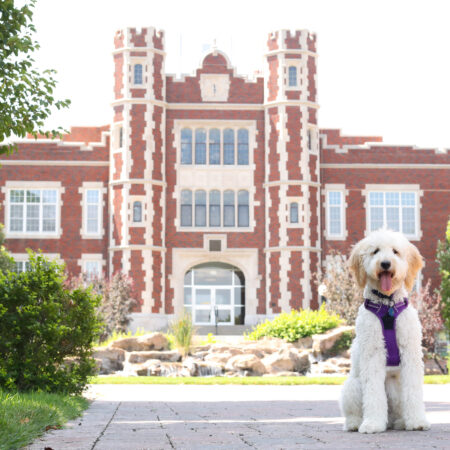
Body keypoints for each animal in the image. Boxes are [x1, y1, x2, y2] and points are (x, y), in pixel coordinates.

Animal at [340, 229, 430, 432]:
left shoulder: (410, 352)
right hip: (352, 386)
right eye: (375, 251)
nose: (386, 263)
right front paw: (372, 423)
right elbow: (373, 392)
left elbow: (413, 390)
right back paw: (356, 423)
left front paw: (417, 421)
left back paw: (401, 422)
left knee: (396, 413)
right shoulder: (373, 352)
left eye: (395, 251)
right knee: (353, 412)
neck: (388, 304)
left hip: (395, 386)